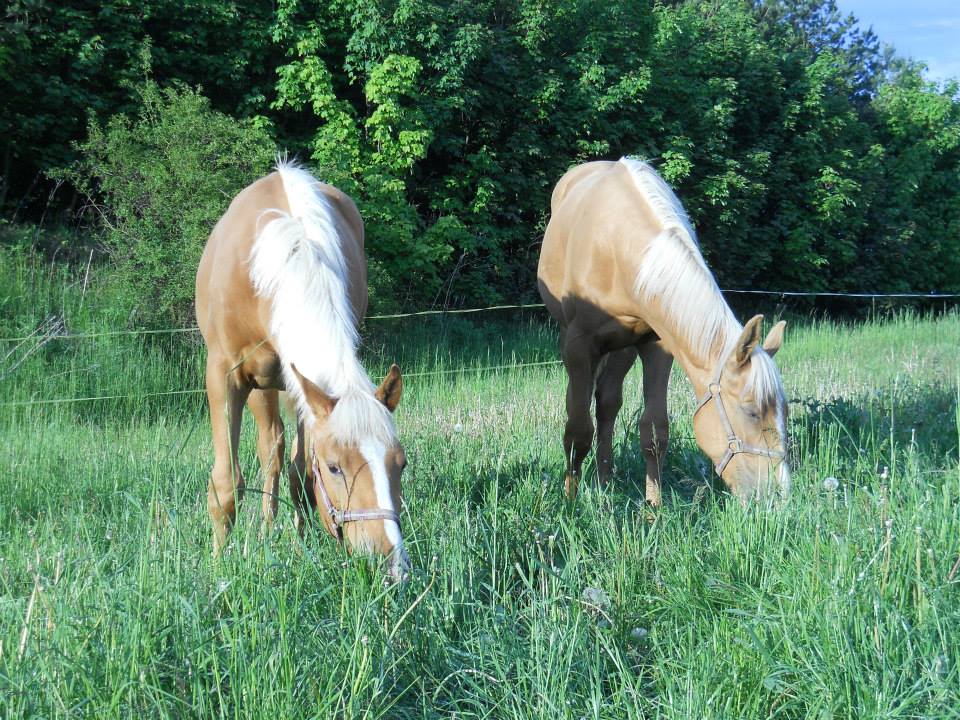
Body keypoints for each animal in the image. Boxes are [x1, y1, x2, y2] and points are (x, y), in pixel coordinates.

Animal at [195, 163, 408, 580]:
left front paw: (300, 547)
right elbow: (226, 484)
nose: (390, 563)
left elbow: (300, 477)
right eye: (335, 467)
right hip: (260, 383)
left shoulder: (303, 386)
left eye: (401, 463)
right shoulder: (225, 375)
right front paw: (217, 566)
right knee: (269, 448)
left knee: (275, 452)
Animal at [536, 160, 792, 504]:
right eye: (751, 412)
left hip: (623, 348)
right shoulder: (579, 346)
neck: (617, 248)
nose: (779, 496)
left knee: (607, 404)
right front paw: (571, 502)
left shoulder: (658, 346)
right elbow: (577, 430)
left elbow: (654, 431)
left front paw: (653, 508)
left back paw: (605, 483)